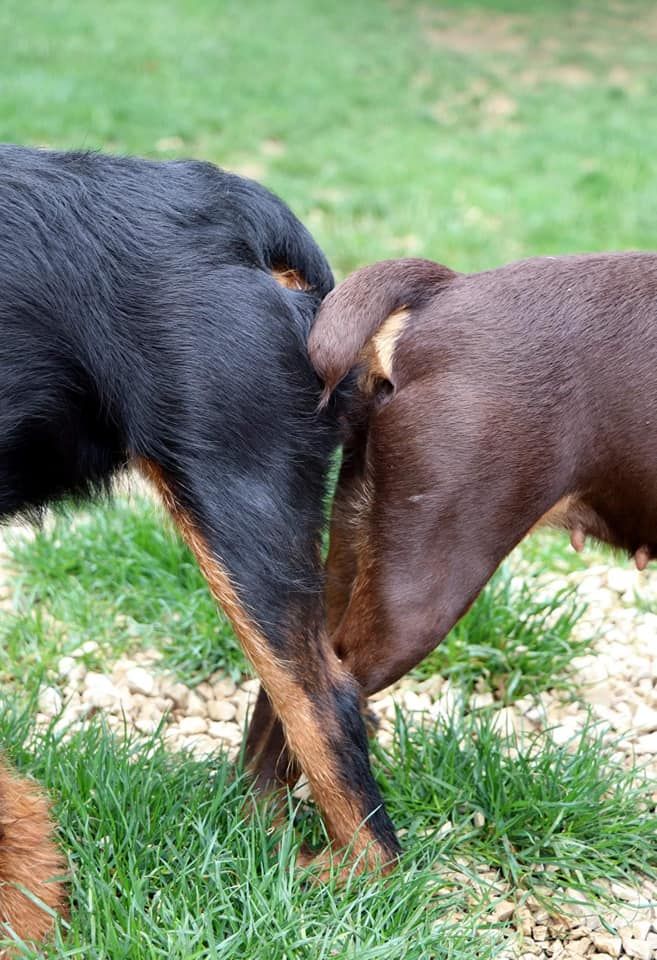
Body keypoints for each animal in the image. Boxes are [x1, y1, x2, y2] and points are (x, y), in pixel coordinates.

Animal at [249, 251, 656, 868]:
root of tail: (444, 293)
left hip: (352, 546)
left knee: (288, 676)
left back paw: (254, 819)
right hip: (425, 583)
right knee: (325, 696)